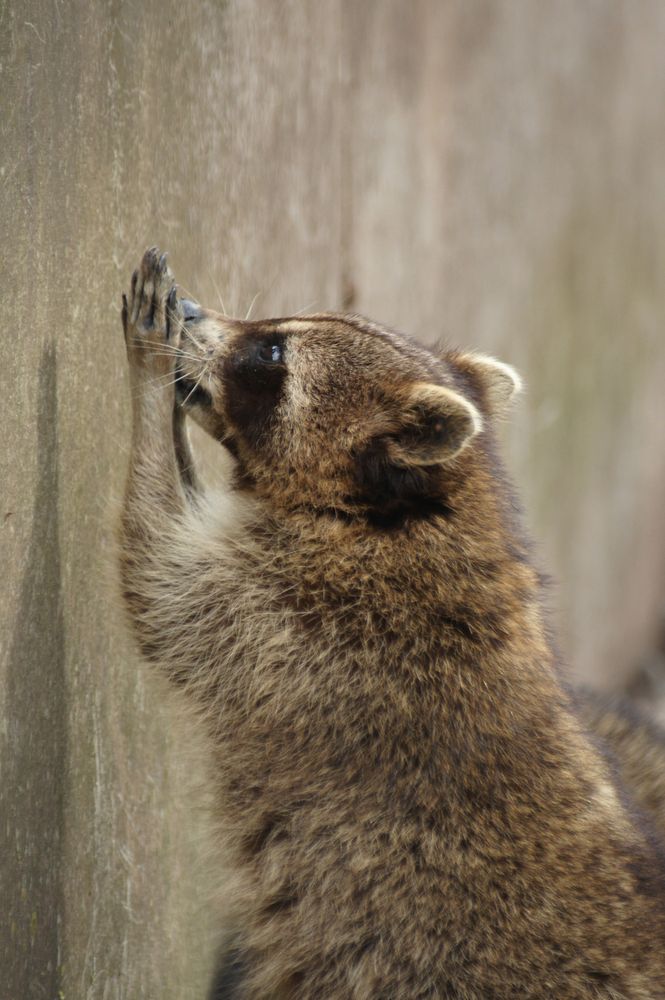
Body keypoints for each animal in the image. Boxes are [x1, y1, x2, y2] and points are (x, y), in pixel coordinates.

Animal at [118, 250, 664, 1000]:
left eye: (271, 352)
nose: (193, 313)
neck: (405, 510)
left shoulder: (303, 617)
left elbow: (160, 579)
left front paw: (146, 376)